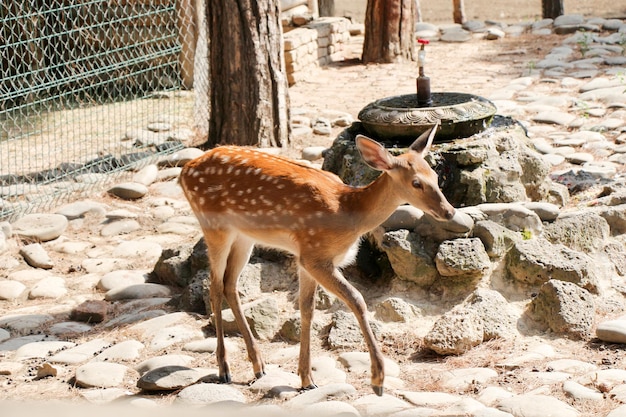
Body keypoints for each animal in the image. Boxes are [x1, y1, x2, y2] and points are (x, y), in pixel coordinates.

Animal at [178, 122, 456, 394]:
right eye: (416, 183)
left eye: (436, 176)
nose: (450, 212)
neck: (348, 212)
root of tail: (183, 173)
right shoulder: (316, 255)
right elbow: (357, 300)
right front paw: (378, 380)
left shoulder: (305, 257)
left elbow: (307, 310)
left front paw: (306, 379)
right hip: (214, 226)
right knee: (214, 287)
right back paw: (224, 369)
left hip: (244, 236)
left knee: (230, 284)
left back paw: (259, 366)